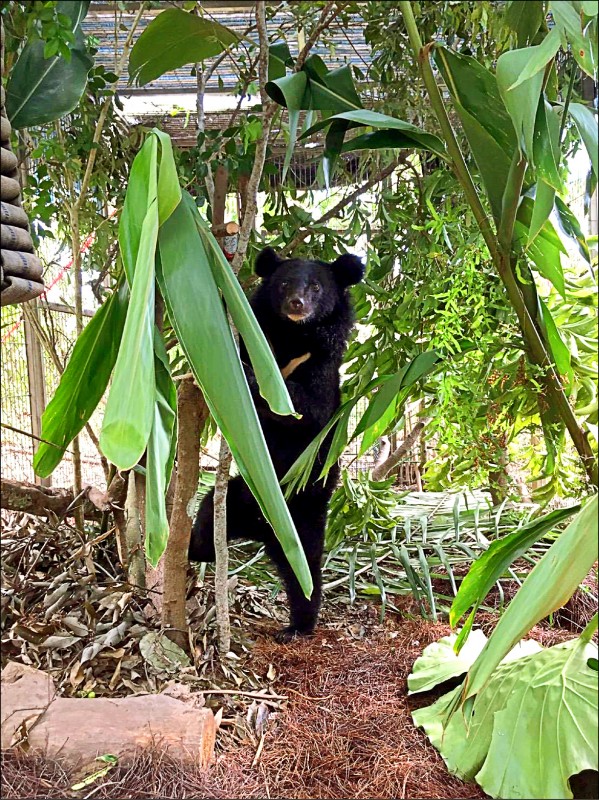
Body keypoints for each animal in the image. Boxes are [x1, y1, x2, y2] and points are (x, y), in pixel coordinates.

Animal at [190, 247, 364, 640]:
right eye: (284, 284)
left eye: (316, 287)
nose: (296, 303)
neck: (292, 338)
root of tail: (263, 529)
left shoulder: (321, 366)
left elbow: (305, 409)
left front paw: (255, 383)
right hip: (237, 499)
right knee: (207, 520)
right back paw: (193, 552)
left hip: (305, 516)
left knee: (306, 574)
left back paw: (299, 626)